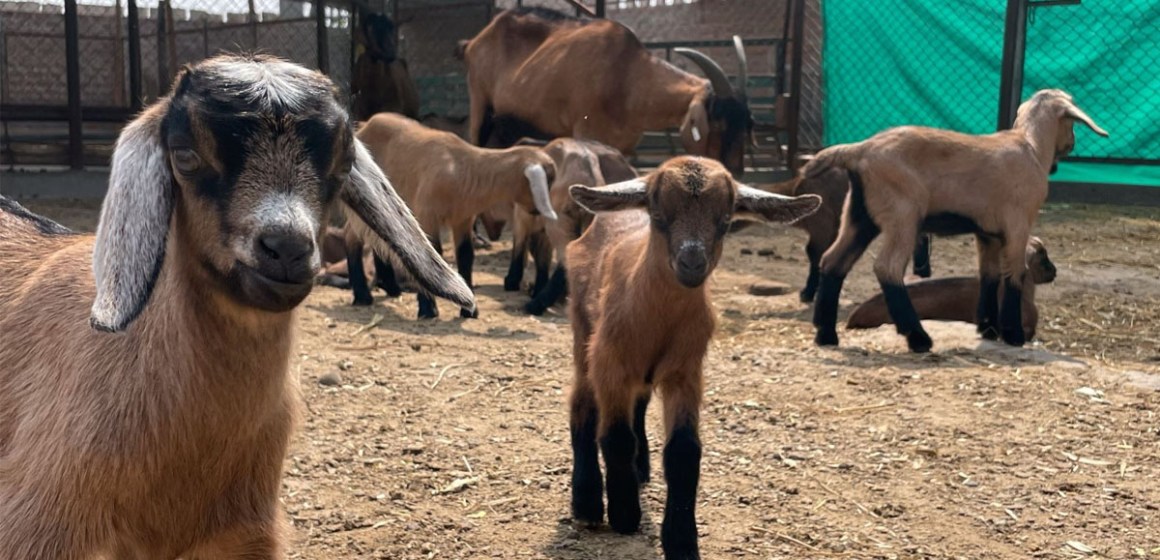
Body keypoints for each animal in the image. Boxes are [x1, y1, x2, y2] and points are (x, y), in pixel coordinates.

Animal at [350, 112, 558, 318]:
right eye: (548, 181)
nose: (538, 212)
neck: (461, 168)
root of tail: (365, 124)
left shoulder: (462, 220)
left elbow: (465, 256)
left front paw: (470, 310)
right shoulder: (427, 215)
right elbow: (431, 254)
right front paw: (428, 309)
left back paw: (391, 288)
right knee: (351, 237)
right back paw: (362, 295)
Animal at [460, 7, 753, 175]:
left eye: (746, 126)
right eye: (718, 123)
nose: (736, 172)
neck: (627, 74)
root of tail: (475, 41)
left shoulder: (623, 147)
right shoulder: (586, 133)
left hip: (507, 126)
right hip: (480, 105)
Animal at [565, 156, 820, 559]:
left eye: (726, 219)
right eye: (658, 214)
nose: (691, 262)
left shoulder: (685, 372)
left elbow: (684, 453)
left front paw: (682, 541)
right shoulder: (610, 364)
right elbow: (616, 437)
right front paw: (624, 515)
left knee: (638, 403)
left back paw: (640, 470)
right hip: (582, 332)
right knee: (581, 407)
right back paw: (587, 502)